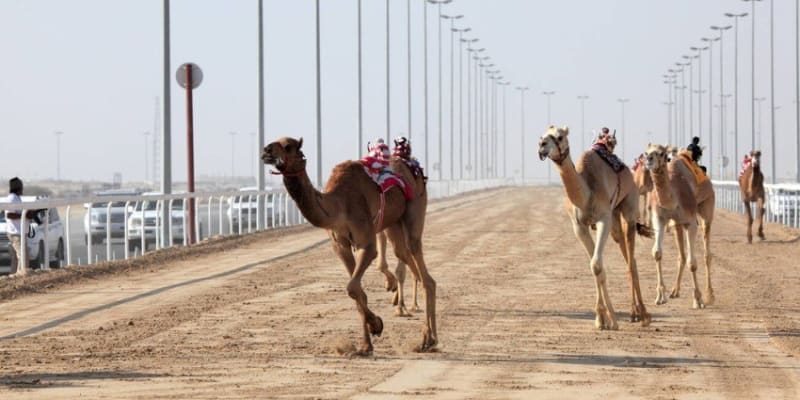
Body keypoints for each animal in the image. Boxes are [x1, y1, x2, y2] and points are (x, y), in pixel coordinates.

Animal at [262, 137, 438, 354]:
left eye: (288, 146)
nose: (266, 151)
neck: (338, 204)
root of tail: (414, 168)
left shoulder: (366, 242)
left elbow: (353, 287)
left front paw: (376, 325)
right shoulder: (340, 246)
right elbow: (357, 291)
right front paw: (366, 343)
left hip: (416, 205)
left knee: (422, 267)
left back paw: (429, 339)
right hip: (393, 223)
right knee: (407, 259)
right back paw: (418, 326)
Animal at [536, 126, 648, 330]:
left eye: (559, 136)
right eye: (542, 136)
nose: (541, 146)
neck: (586, 193)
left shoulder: (603, 219)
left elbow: (596, 264)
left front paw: (612, 320)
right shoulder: (579, 227)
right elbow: (596, 266)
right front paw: (602, 319)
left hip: (629, 206)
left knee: (630, 260)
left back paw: (642, 314)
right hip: (614, 219)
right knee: (628, 255)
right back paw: (634, 314)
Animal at [648, 145, 716, 310]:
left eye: (661, 153)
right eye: (647, 152)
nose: (649, 160)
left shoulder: (690, 222)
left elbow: (693, 262)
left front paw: (698, 300)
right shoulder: (659, 218)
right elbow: (657, 253)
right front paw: (660, 296)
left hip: (707, 206)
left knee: (707, 254)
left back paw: (710, 295)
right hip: (677, 224)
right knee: (682, 255)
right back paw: (675, 291)